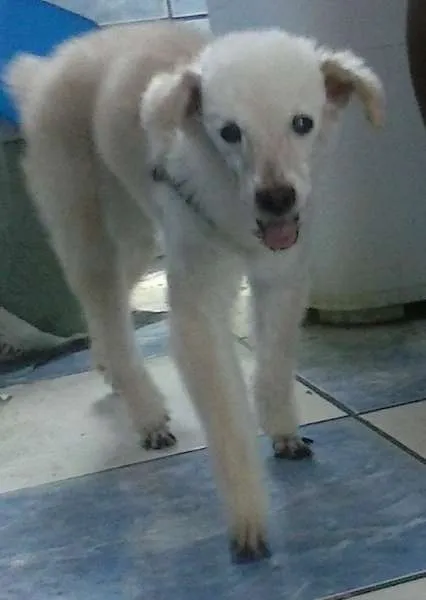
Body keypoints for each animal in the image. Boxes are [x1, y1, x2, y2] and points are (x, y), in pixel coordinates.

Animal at [4, 22, 383, 562]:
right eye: (229, 132)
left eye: (302, 123)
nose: (276, 199)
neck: (235, 205)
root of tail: (48, 69)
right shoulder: (197, 313)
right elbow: (226, 422)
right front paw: (248, 520)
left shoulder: (282, 281)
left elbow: (274, 367)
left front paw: (283, 431)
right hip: (83, 223)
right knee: (104, 307)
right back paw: (145, 409)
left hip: (137, 236)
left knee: (111, 304)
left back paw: (108, 368)